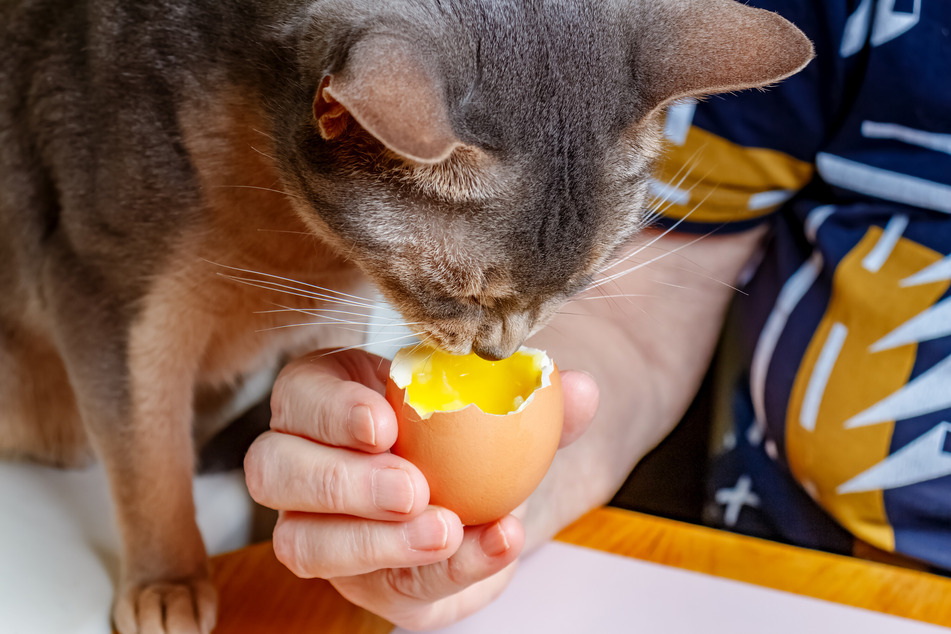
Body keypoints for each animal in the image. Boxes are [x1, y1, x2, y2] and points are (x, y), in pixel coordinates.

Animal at [1, 0, 812, 628]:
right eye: (456, 293)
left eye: (576, 285)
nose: (495, 352)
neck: (290, 230)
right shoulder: (106, 299)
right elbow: (149, 461)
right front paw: (169, 579)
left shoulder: (328, 311)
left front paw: (282, 547)